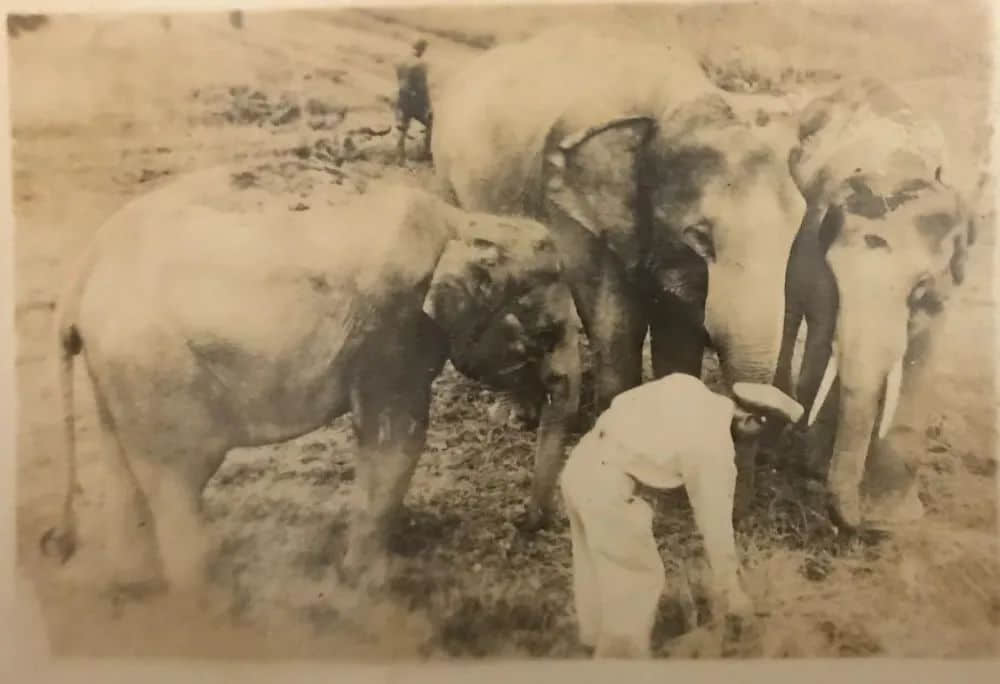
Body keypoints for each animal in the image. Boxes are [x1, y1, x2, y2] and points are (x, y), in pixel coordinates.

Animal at [39, 174, 576, 600]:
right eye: (546, 334)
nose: (525, 523)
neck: (462, 222)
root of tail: (84, 270)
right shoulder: (392, 331)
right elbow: (396, 440)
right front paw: (375, 583)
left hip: (118, 372)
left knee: (124, 468)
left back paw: (134, 588)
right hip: (156, 373)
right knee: (179, 479)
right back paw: (209, 603)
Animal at [434, 26, 808, 520]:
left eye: (797, 225)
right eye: (701, 237)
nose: (748, 416)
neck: (675, 97)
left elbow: (677, 335)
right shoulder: (571, 207)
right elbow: (615, 320)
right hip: (446, 178)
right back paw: (519, 414)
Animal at [772, 79, 976, 528]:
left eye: (919, 287)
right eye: (837, 279)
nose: (861, 524)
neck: (897, 169)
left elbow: (919, 354)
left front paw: (895, 518)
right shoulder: (819, 260)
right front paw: (815, 468)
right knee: (796, 313)